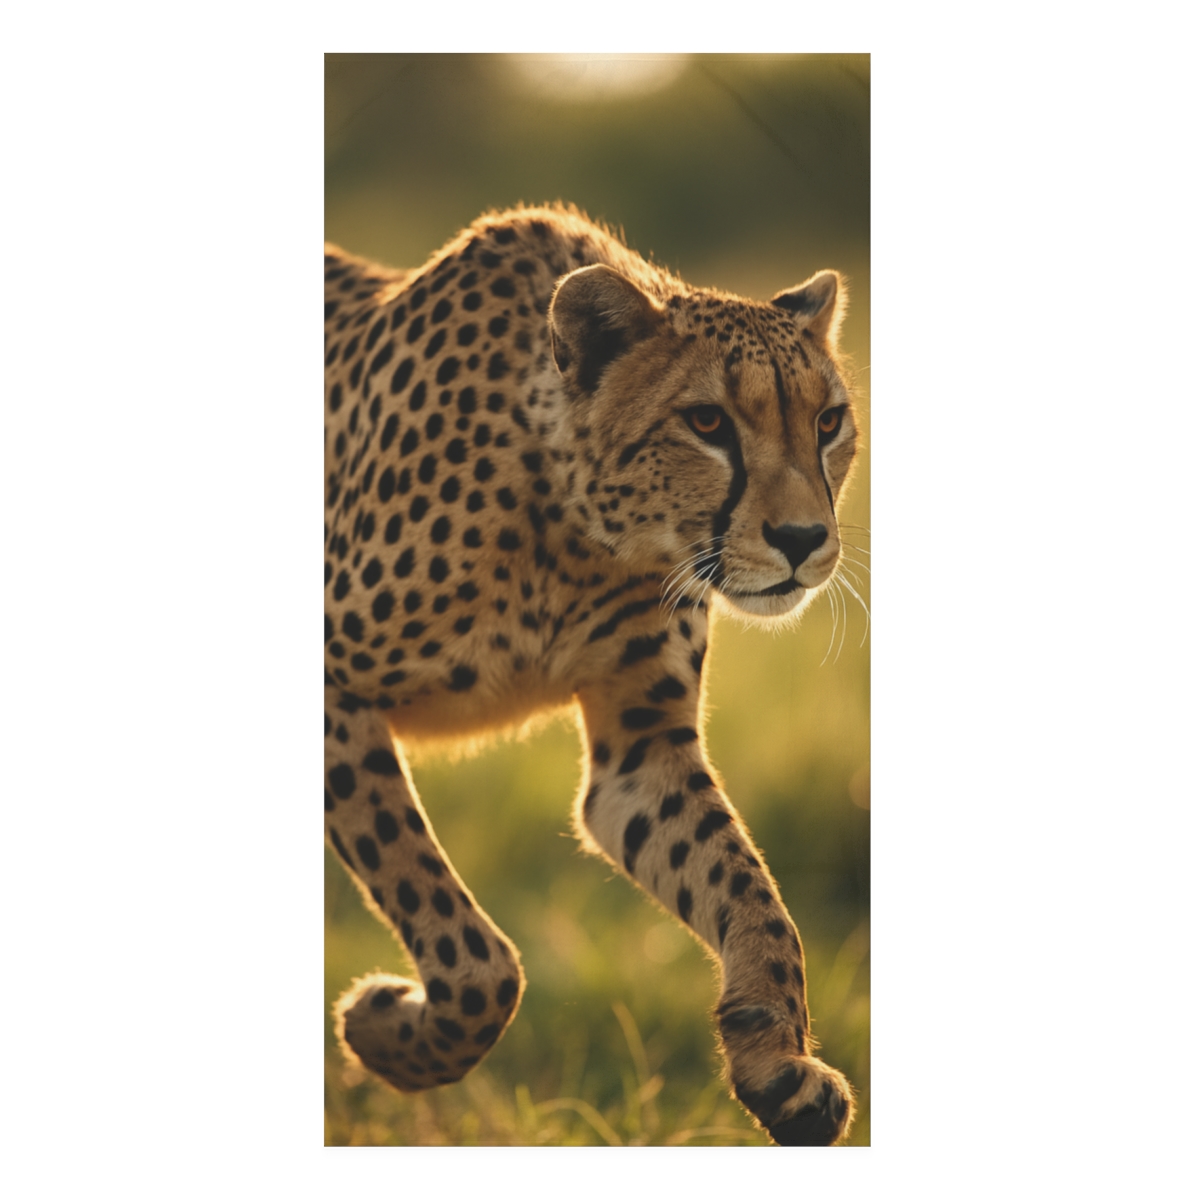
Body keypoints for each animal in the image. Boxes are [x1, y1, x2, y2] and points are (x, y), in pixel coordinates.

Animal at [324, 203, 860, 1146]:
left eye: (828, 423)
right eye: (708, 423)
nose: (802, 540)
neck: (576, 529)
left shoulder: (641, 753)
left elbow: (752, 895)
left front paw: (777, 1062)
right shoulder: (328, 685)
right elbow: (477, 957)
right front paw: (386, 1026)